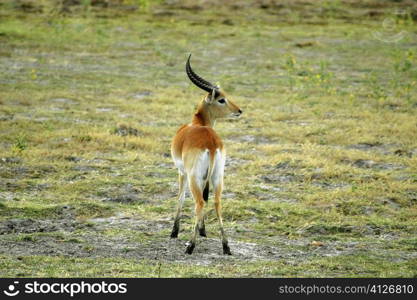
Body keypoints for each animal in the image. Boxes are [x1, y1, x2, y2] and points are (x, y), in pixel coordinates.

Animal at [169, 54, 240, 255]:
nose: (239, 111)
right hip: (218, 176)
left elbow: (180, 197)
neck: (198, 124)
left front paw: (174, 232)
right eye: (222, 99)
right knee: (216, 202)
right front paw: (203, 230)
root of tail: (211, 143)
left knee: (199, 202)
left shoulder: (182, 172)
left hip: (194, 176)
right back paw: (226, 247)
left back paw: (190, 247)